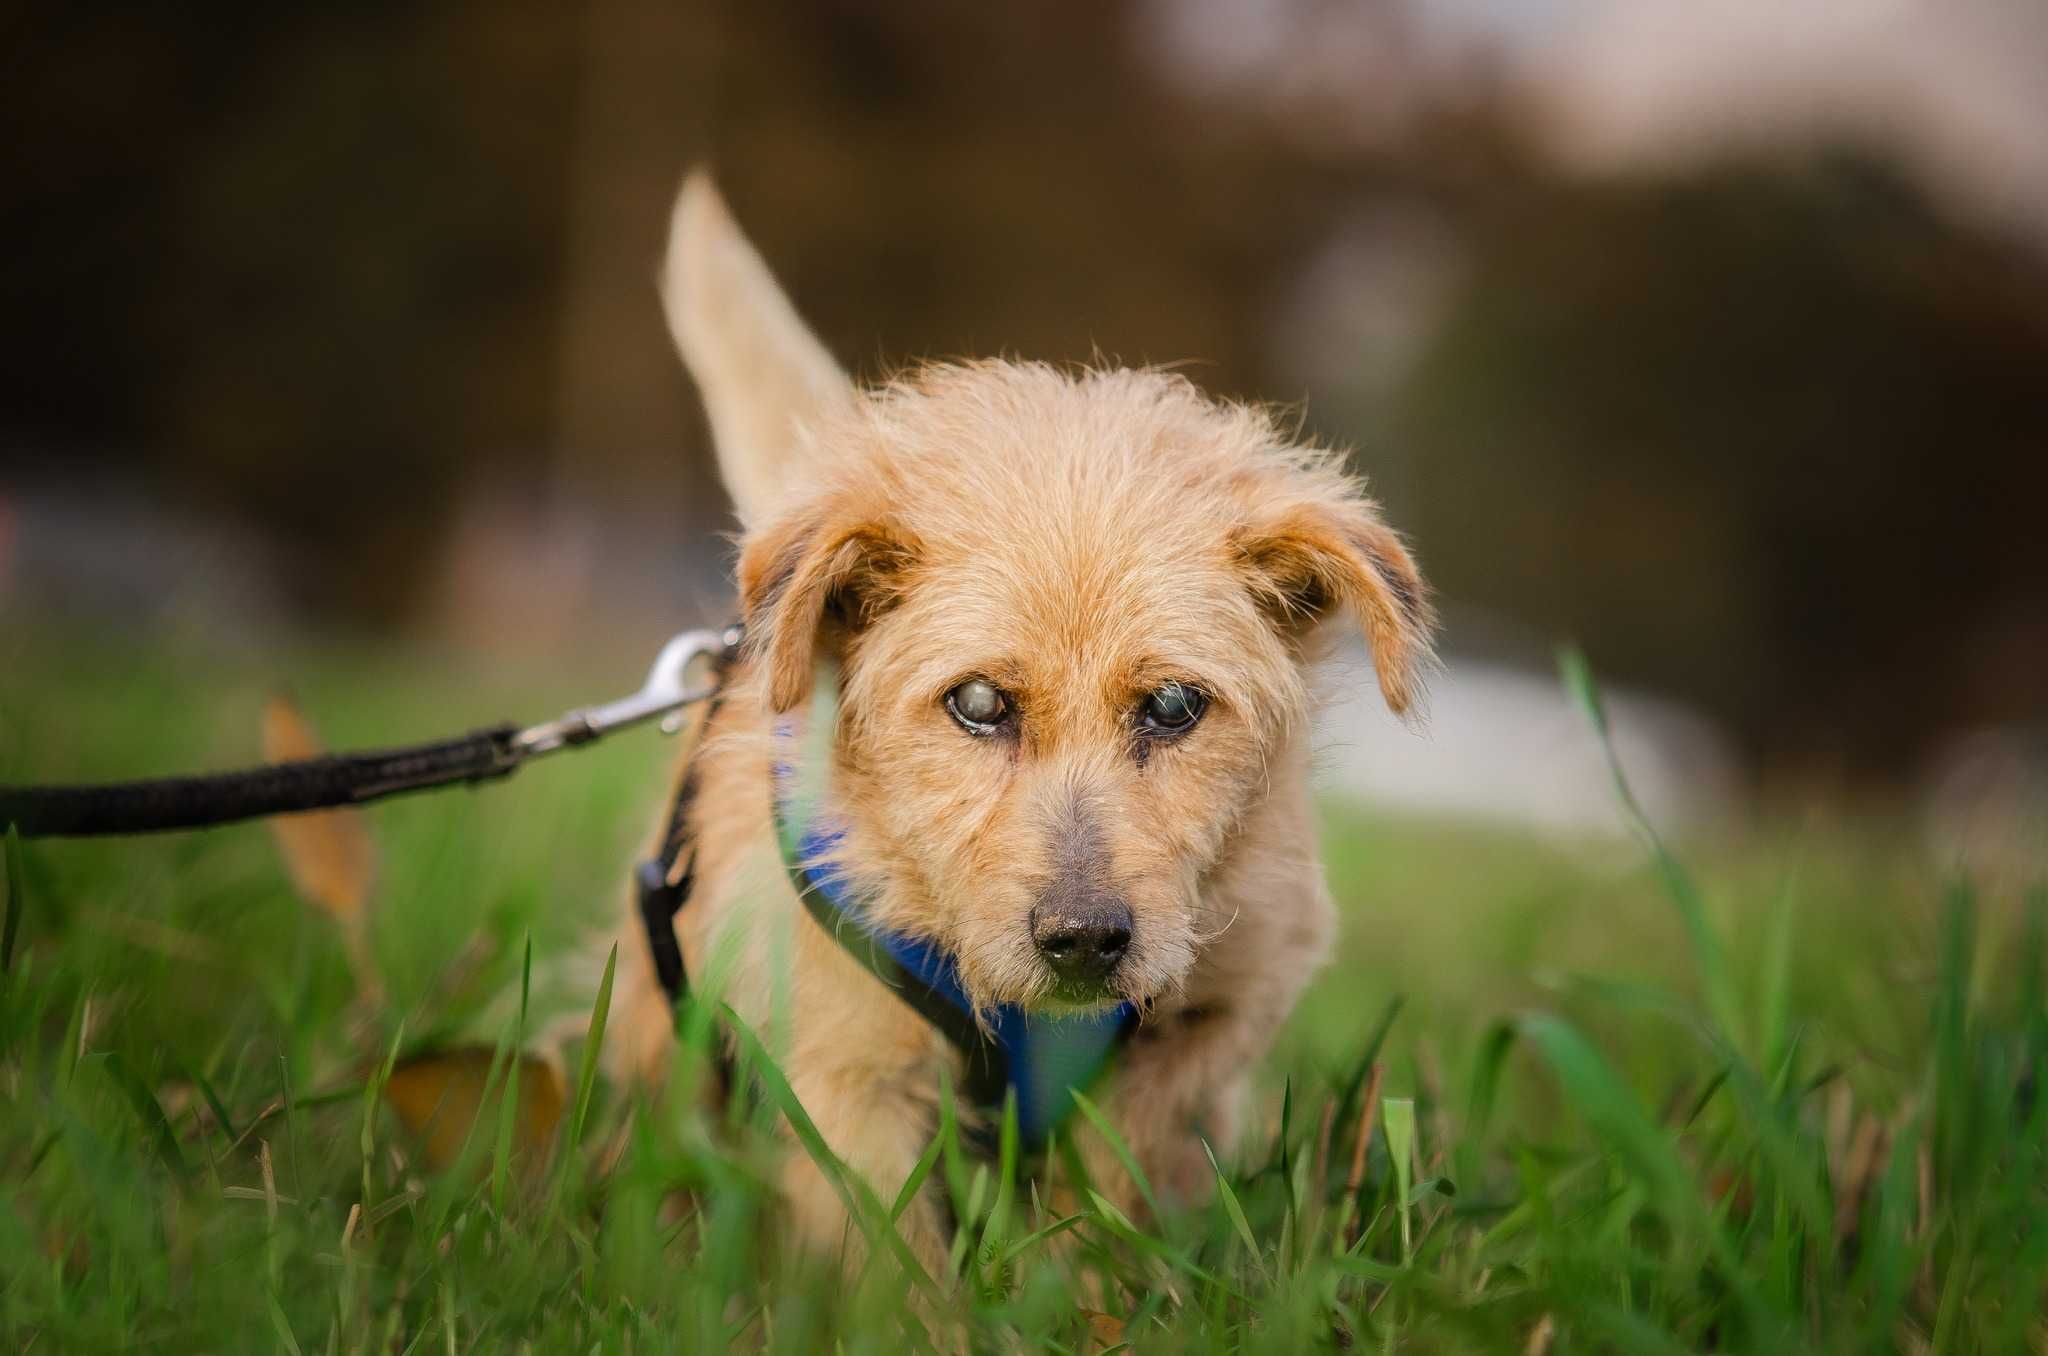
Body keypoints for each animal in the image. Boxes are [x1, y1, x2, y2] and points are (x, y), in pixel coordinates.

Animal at [610, 175, 1441, 1278]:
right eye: (976, 703)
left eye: (1173, 706)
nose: (1083, 941)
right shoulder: (843, 1082)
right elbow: (888, 1265)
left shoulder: (1204, 1030)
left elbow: (1109, 1215)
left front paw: (1095, 1296)